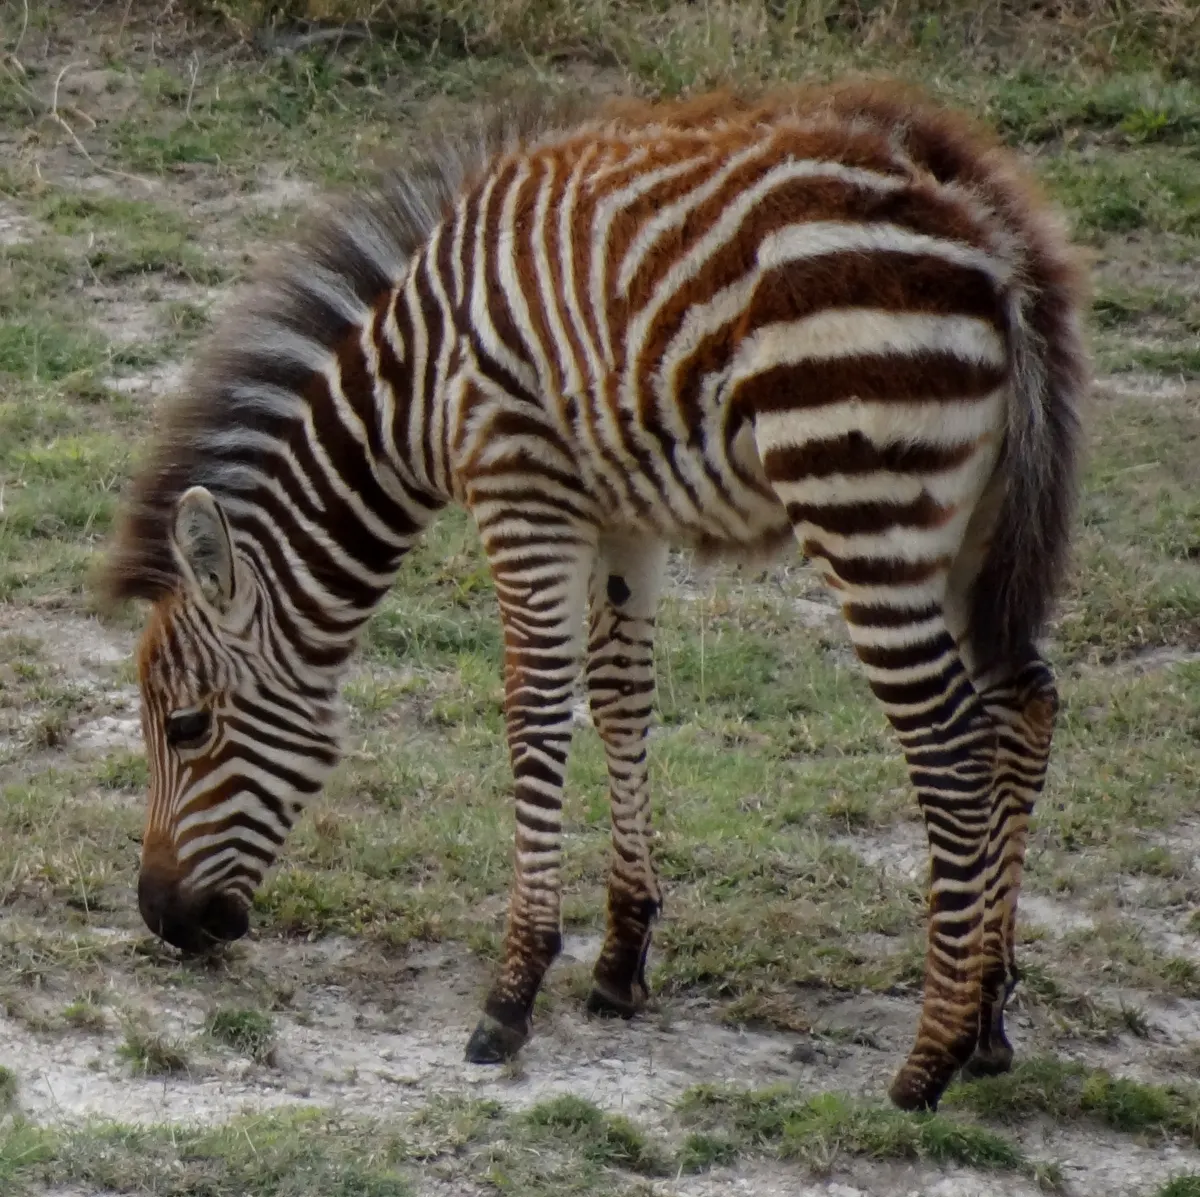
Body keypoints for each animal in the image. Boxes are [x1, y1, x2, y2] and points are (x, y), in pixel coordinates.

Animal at [100, 81, 1087, 1113]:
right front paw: (620, 957)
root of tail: (994, 226)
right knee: (1025, 705)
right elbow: (619, 698)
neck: (417, 381)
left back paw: (930, 1054)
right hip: (975, 527)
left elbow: (533, 707)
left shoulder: (520, 486)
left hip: (864, 505)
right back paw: (990, 1016)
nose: (161, 918)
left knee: (951, 746)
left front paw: (513, 991)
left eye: (187, 728)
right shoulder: (621, 508)